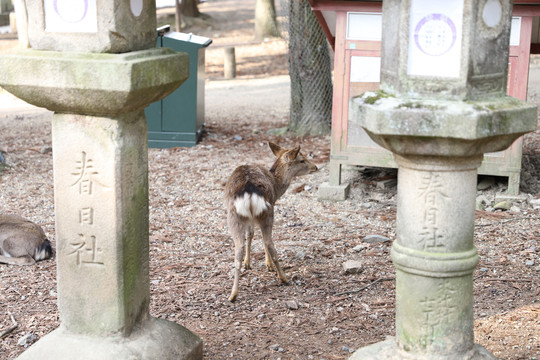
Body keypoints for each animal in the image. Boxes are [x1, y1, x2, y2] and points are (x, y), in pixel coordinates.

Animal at [224, 142, 316, 302]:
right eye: (302, 160)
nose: (316, 167)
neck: (276, 185)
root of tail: (248, 190)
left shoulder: (250, 218)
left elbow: (250, 234)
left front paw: (248, 263)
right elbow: (259, 237)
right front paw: (269, 265)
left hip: (234, 217)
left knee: (238, 249)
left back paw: (233, 294)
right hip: (267, 212)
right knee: (269, 242)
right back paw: (283, 277)